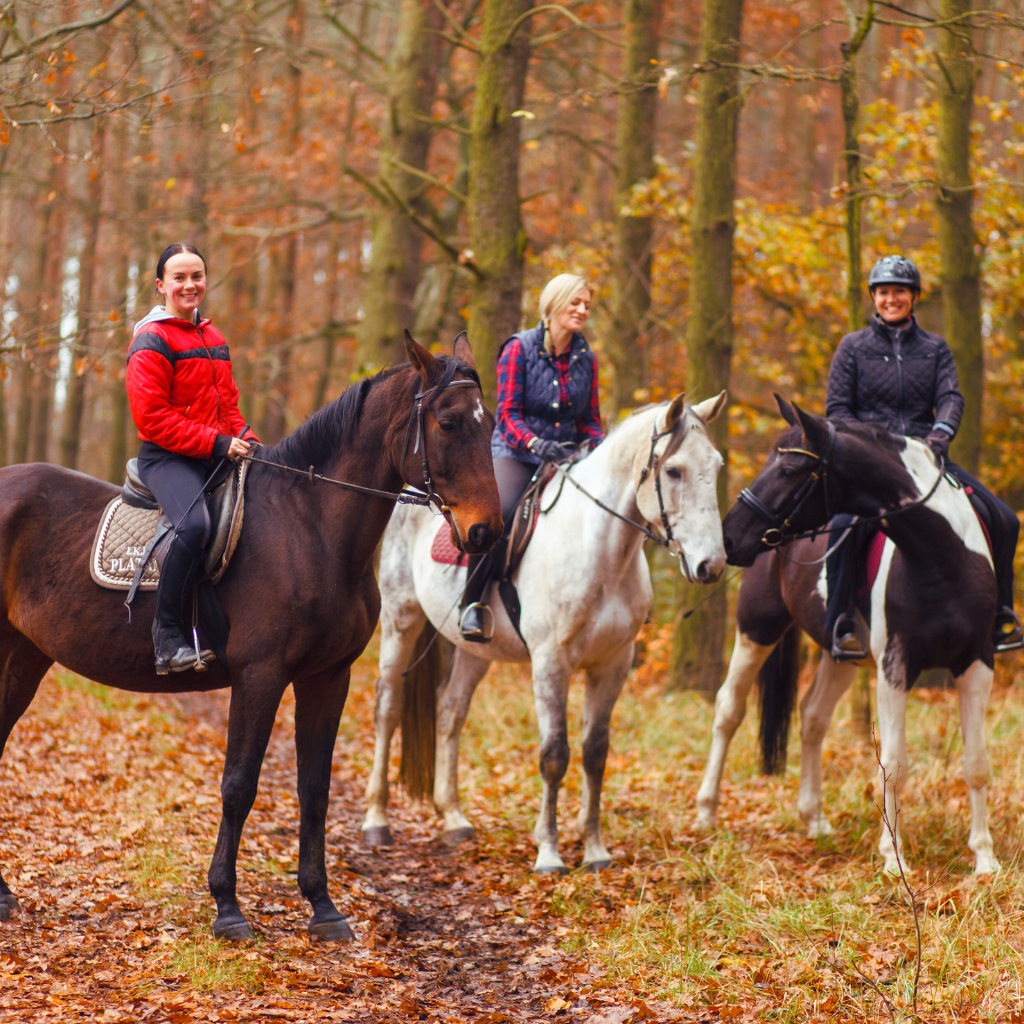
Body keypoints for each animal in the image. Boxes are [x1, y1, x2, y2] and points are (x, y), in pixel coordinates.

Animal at [0, 331, 499, 937]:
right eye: (448, 423)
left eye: (490, 424)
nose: (486, 532)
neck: (310, 527)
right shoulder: (260, 674)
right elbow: (239, 785)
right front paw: (227, 907)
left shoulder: (328, 677)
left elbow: (315, 788)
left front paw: (323, 907)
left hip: (24, 654)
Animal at [360, 391, 729, 872]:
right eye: (673, 471)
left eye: (717, 466)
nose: (711, 566)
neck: (600, 551)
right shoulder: (551, 663)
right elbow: (555, 755)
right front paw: (549, 853)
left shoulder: (613, 664)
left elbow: (595, 753)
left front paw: (595, 850)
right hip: (401, 619)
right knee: (387, 706)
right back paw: (376, 821)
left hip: (474, 650)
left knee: (450, 712)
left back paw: (455, 819)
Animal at [696, 395, 999, 876]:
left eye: (788, 471)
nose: (725, 541)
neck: (940, 558)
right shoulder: (895, 667)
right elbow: (893, 763)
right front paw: (893, 859)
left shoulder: (976, 663)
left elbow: (976, 763)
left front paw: (985, 859)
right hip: (758, 629)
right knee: (729, 709)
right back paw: (706, 812)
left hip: (841, 655)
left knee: (812, 716)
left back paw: (814, 819)